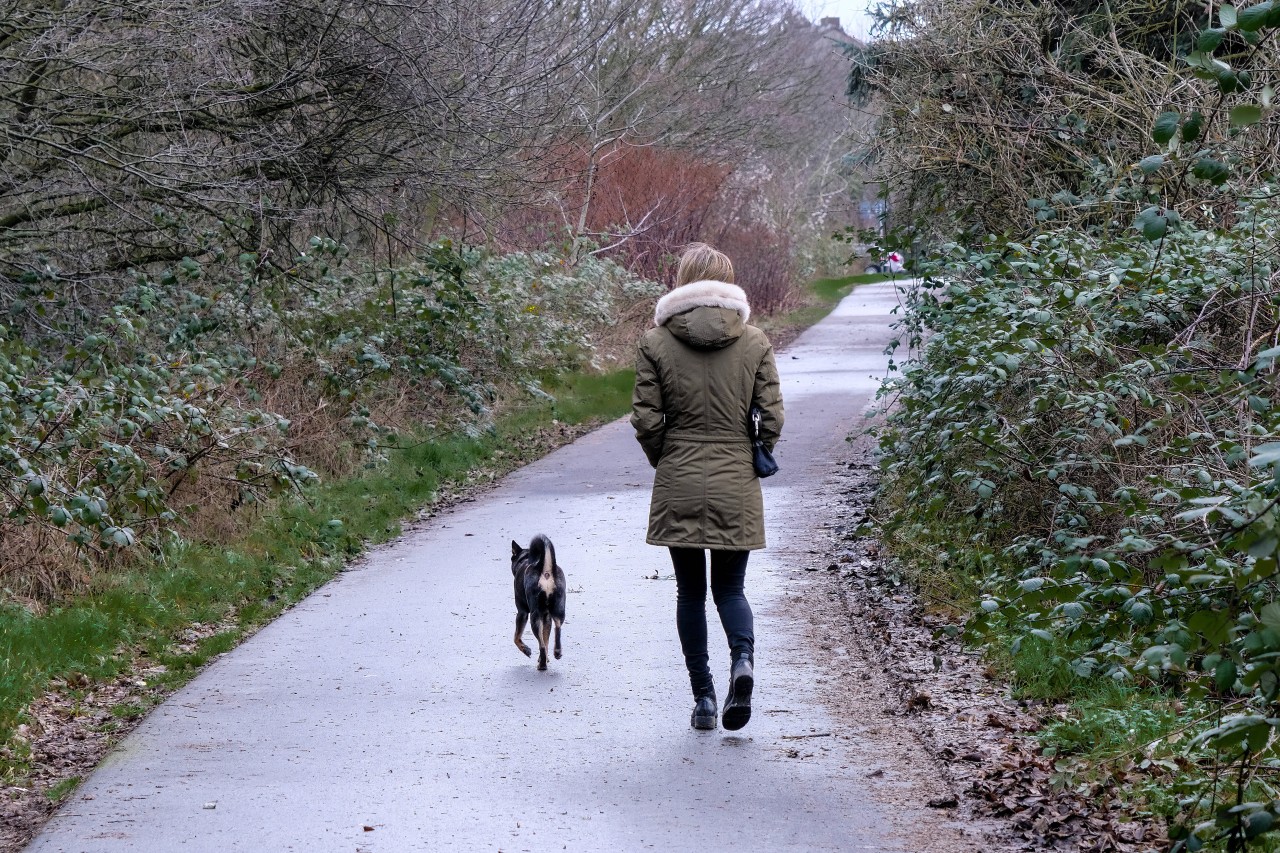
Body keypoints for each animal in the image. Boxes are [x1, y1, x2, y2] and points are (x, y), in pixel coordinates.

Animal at [512, 535, 568, 666]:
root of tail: (545, 570)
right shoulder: (546, 616)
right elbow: (546, 638)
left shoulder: (522, 613)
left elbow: (516, 637)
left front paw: (525, 649)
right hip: (558, 609)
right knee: (557, 628)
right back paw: (556, 652)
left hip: (534, 616)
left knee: (541, 645)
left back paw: (542, 665)